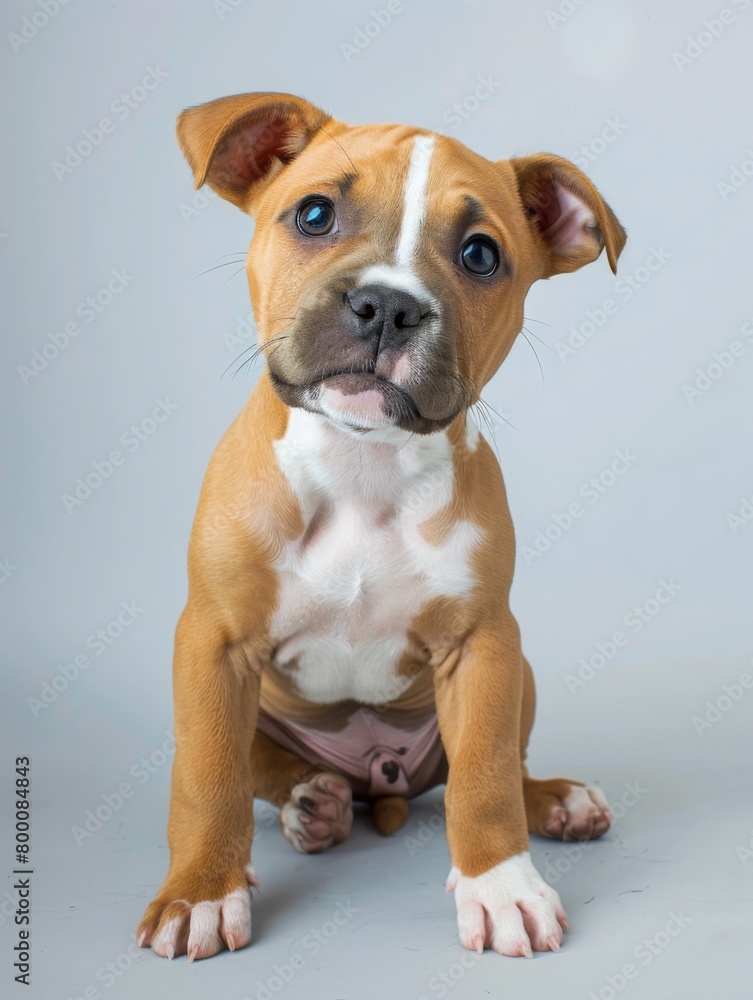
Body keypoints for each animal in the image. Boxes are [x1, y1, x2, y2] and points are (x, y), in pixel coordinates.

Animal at [138, 92, 624, 960]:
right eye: (315, 213)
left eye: (479, 255)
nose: (390, 305)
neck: (362, 463)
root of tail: (377, 778)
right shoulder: (212, 643)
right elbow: (208, 777)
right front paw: (200, 892)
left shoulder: (483, 645)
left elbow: (483, 777)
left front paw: (500, 887)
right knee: (263, 766)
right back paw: (313, 803)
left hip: (520, 676)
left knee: (486, 770)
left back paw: (555, 800)